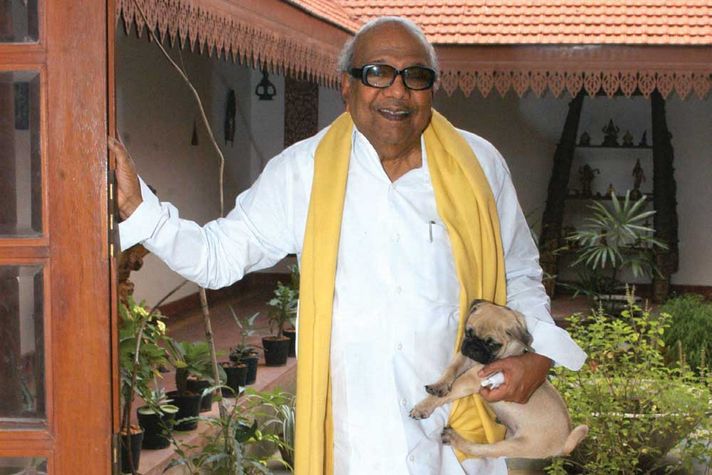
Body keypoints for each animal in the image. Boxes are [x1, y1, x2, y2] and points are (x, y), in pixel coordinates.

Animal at [408, 302, 588, 462]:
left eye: (493, 344)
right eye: (468, 332)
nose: (474, 347)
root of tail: (564, 443)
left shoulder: (471, 379)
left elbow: (449, 392)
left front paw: (423, 407)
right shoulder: (464, 357)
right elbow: (450, 370)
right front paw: (439, 385)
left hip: (515, 446)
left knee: (482, 450)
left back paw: (453, 438)